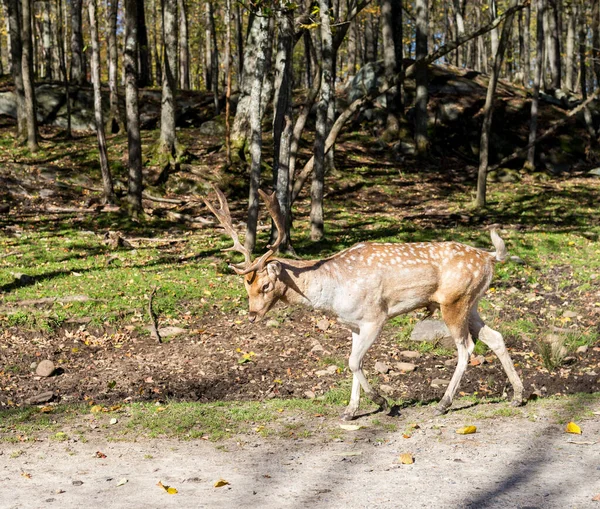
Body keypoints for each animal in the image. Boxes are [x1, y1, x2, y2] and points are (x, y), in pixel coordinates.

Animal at [204, 189, 524, 418]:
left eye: (265, 285)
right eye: (246, 286)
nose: (252, 314)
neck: (333, 293)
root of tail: (489, 257)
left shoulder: (374, 317)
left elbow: (354, 362)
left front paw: (383, 402)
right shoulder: (354, 325)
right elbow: (352, 361)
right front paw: (351, 410)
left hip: (455, 302)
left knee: (466, 347)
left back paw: (444, 403)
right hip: (471, 302)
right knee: (495, 337)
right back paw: (519, 396)